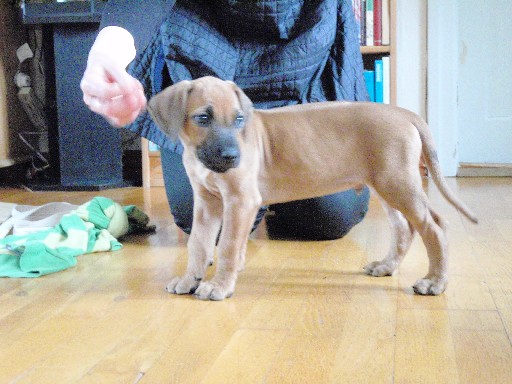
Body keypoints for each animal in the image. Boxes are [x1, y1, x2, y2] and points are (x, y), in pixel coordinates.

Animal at [146, 76, 478, 302]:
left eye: (239, 119)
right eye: (202, 118)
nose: (231, 157)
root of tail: (405, 114)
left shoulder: (241, 200)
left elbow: (227, 245)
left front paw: (219, 285)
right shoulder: (206, 203)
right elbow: (199, 244)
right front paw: (190, 278)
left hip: (398, 184)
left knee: (435, 227)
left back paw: (434, 282)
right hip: (387, 186)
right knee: (404, 229)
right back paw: (387, 266)